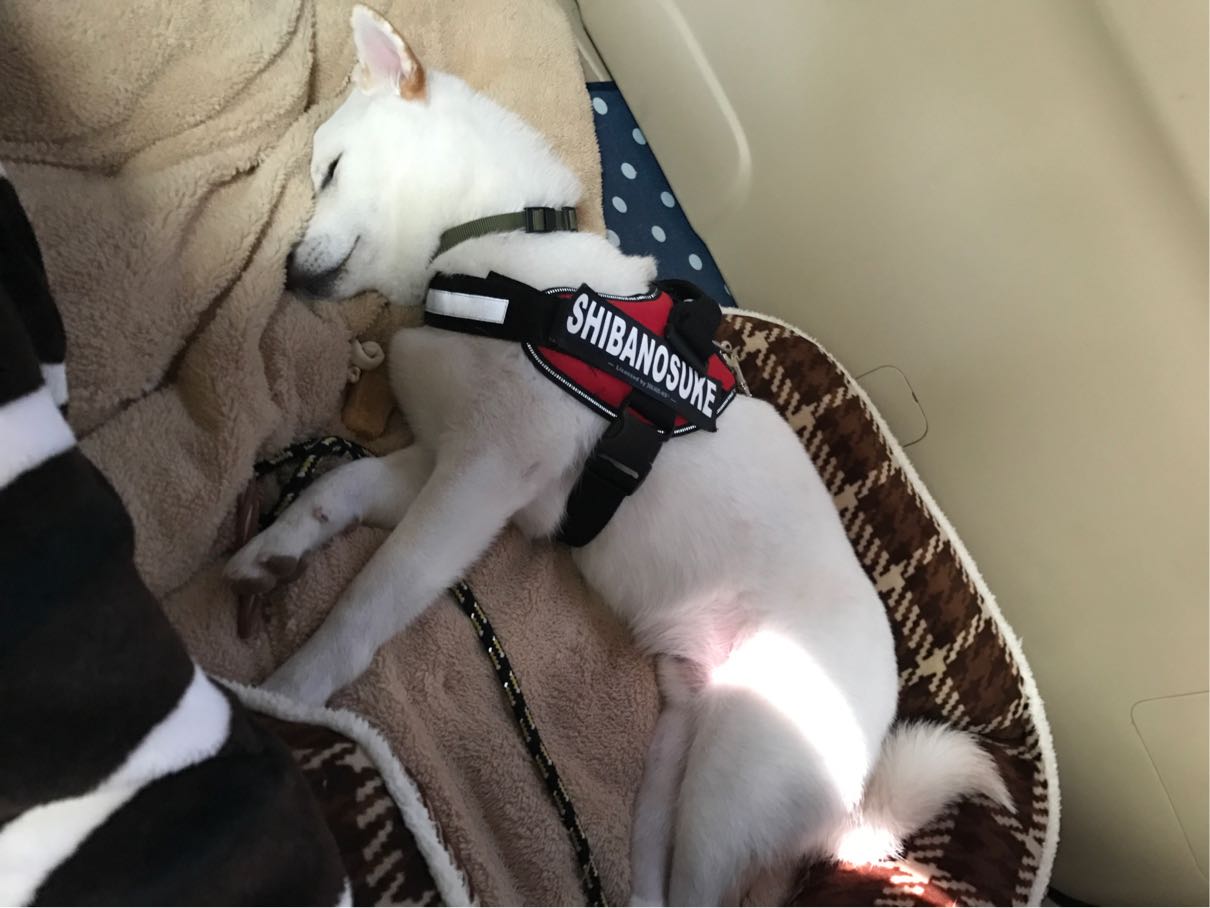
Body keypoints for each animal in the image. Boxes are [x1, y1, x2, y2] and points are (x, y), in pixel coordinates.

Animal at [226, 7, 1010, 904]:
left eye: (330, 169)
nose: (288, 273)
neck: (495, 259)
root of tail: (856, 784)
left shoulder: (479, 479)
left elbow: (370, 599)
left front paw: (290, 700)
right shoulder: (445, 466)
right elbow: (340, 488)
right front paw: (271, 552)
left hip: (735, 778)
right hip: (673, 763)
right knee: (658, 888)